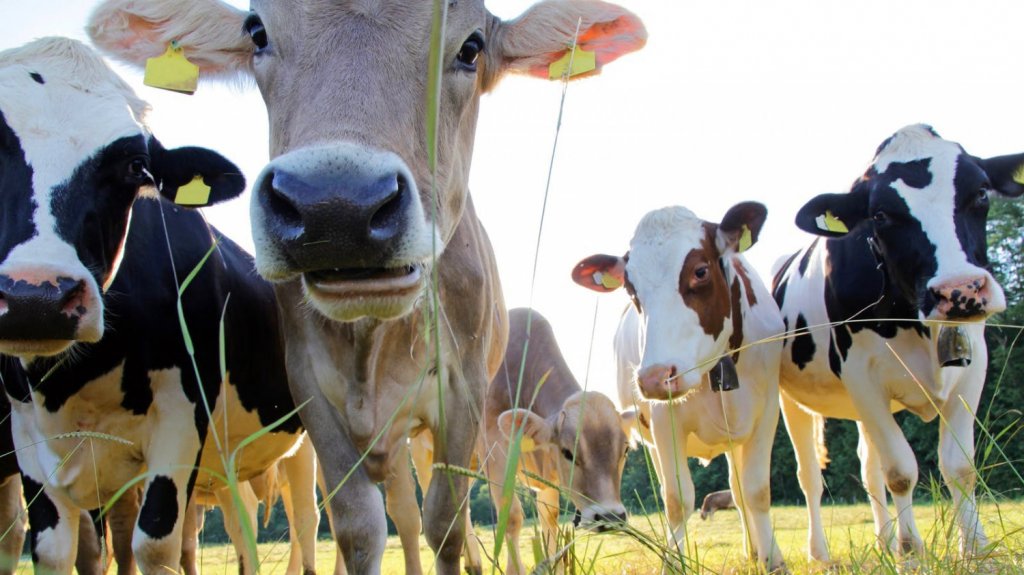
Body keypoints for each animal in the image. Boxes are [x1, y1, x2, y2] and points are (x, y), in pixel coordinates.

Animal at [0, 37, 316, 574]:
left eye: (134, 167)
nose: (33, 297)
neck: (78, 379)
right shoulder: (28, 441)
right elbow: (54, 550)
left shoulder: (180, 421)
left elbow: (154, 543)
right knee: (244, 521)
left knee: (310, 520)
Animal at [480, 308, 634, 574]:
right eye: (568, 453)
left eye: (624, 451)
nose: (609, 518)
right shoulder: (495, 449)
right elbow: (511, 516)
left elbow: (550, 519)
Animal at [572, 202, 786, 570]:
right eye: (631, 289)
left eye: (700, 271)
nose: (654, 377)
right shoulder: (663, 423)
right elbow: (677, 499)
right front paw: (673, 562)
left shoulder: (768, 411)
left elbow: (756, 490)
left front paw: (772, 560)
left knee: (738, 490)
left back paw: (754, 551)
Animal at [771, 124, 1023, 561]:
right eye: (880, 214)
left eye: (980, 192)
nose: (960, 290)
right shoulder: (862, 377)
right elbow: (901, 472)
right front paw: (911, 548)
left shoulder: (973, 368)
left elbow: (959, 466)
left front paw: (973, 547)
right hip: (794, 400)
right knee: (811, 476)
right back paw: (821, 552)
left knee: (868, 469)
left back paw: (883, 541)